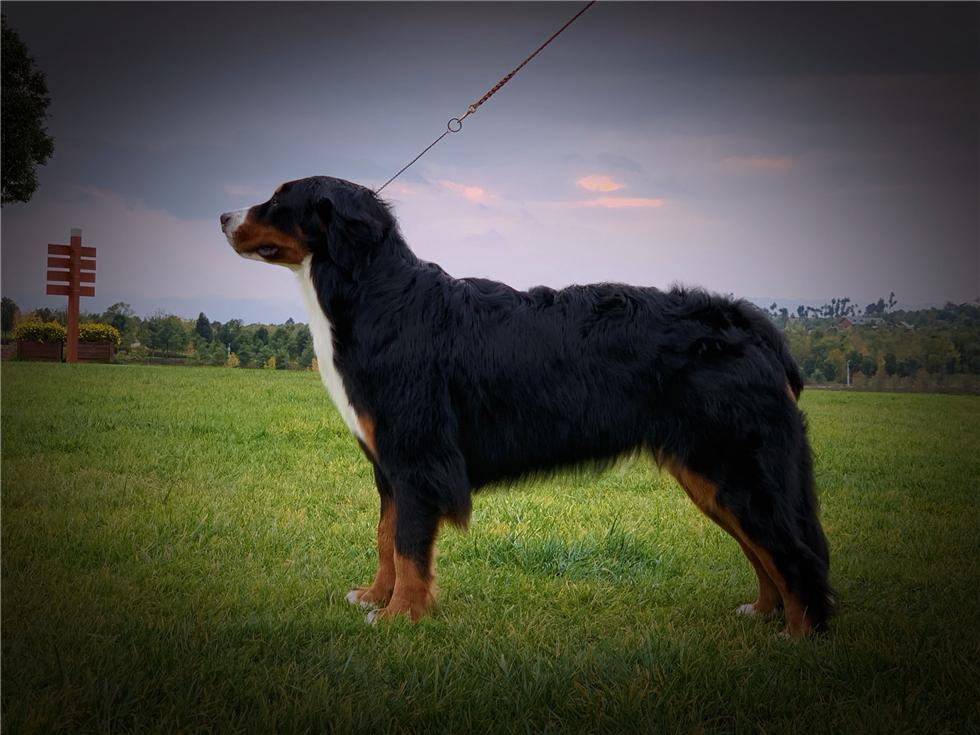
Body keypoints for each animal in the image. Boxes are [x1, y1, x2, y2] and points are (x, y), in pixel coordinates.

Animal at [220, 176, 833, 636]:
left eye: (279, 199)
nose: (223, 216)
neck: (377, 296)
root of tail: (749, 322)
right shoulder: (390, 467)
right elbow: (386, 539)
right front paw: (375, 598)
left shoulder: (418, 458)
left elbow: (409, 546)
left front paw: (400, 617)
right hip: (712, 476)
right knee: (765, 553)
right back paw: (764, 613)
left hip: (735, 467)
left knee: (794, 553)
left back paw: (798, 637)